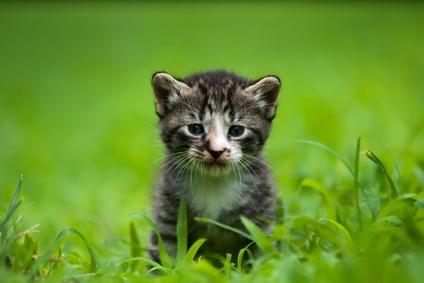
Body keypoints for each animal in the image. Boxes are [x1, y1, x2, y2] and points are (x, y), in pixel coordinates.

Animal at [147, 70, 280, 266]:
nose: (216, 151)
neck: (214, 184)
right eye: (195, 128)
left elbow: (264, 255)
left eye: (236, 130)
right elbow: (163, 258)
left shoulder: (260, 219)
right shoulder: (167, 218)